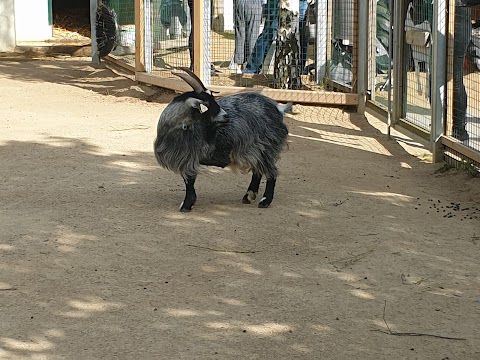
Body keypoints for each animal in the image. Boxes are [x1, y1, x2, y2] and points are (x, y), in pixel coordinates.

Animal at [155, 67, 288, 211]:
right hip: (256, 150)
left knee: (271, 172)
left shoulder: (189, 158)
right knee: (258, 171)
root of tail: (277, 108)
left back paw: (265, 201)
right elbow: (188, 181)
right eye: (206, 104)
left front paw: (186, 205)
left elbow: (189, 180)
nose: (226, 116)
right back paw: (249, 196)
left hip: (264, 146)